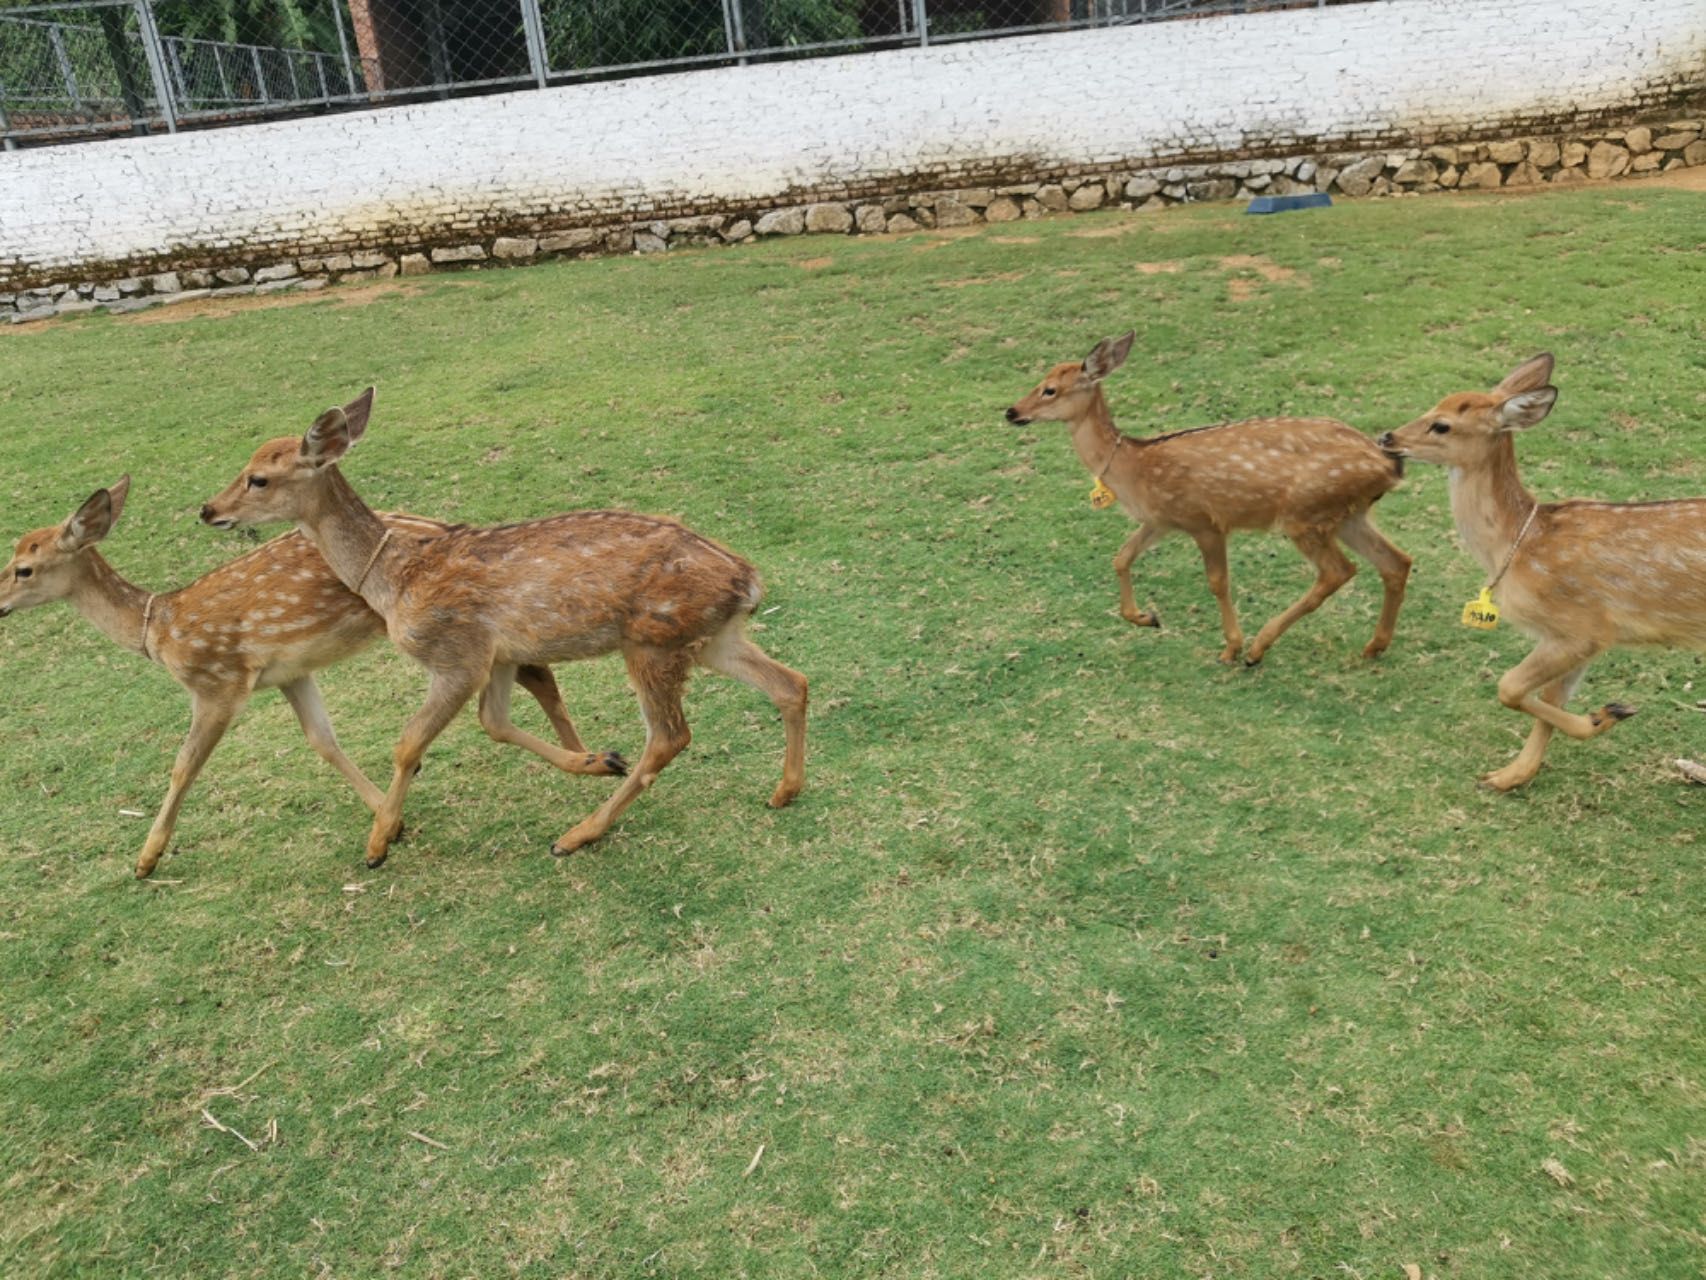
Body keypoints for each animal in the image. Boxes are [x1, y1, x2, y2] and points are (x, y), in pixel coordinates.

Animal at [0, 478, 608, 878]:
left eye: (25, 568)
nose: (0, 602)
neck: (162, 631)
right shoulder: (289, 674)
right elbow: (322, 740)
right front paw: (390, 822)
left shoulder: (220, 682)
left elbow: (182, 765)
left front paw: (146, 860)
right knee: (533, 670)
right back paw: (592, 759)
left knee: (531, 669)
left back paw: (591, 762)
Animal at [198, 387, 808, 869]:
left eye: (258, 478)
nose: (207, 509)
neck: (395, 580)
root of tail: (748, 581)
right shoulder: (502, 654)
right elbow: (493, 723)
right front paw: (596, 760)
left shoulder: (457, 653)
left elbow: (408, 743)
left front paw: (378, 843)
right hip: (710, 638)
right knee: (790, 683)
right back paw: (783, 791)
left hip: (650, 642)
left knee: (670, 736)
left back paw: (577, 835)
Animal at [1006, 332, 1412, 665]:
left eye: (1049, 389)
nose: (1011, 411)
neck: (1134, 468)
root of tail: (1389, 464)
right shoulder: (1160, 521)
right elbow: (1121, 557)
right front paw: (1146, 617)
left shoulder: (1204, 520)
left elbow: (1218, 582)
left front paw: (1230, 647)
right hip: (1348, 515)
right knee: (1396, 561)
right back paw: (1375, 646)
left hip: (1306, 513)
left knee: (1338, 571)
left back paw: (1257, 649)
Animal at [1377, 352, 1706, 791]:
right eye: (1432, 406)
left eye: (1442, 424)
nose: (1387, 437)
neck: (1520, 545)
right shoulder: (1581, 638)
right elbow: (1550, 698)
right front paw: (1510, 775)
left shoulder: (1582, 625)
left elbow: (1509, 687)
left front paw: (1607, 714)